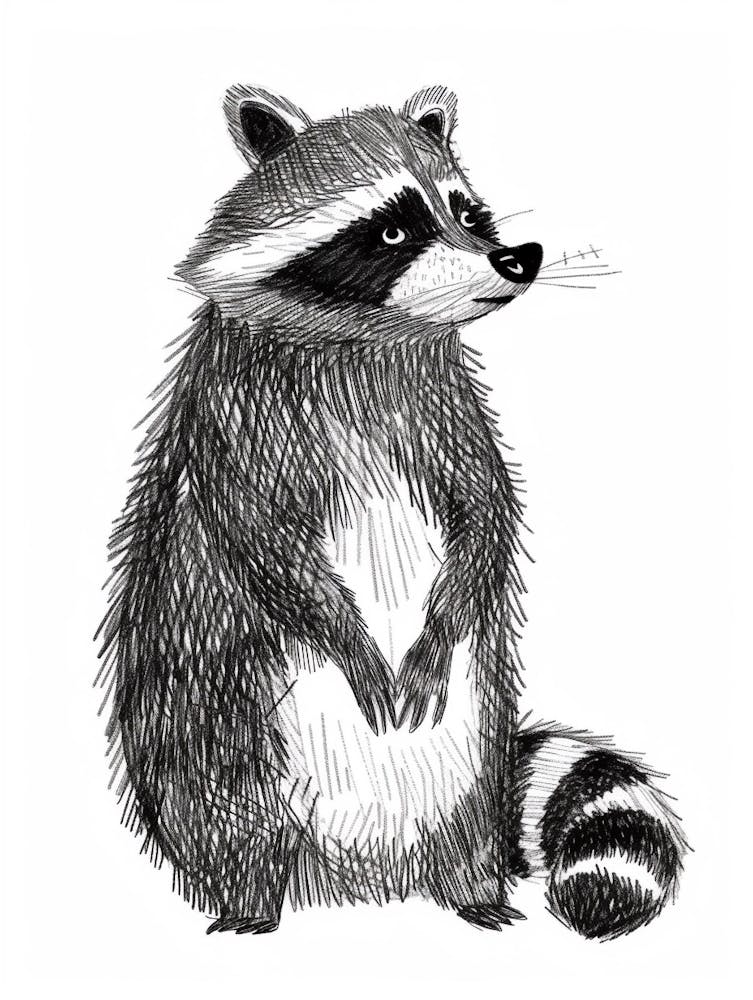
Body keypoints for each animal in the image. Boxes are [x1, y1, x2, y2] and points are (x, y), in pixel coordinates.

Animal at [98, 85, 686, 939]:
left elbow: (484, 507)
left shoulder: (447, 405)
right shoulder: (233, 413)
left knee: (469, 813)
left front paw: (440, 622)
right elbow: (256, 530)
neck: (367, 338)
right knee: (230, 809)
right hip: (217, 719)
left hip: (476, 752)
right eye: (392, 228)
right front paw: (344, 631)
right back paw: (251, 900)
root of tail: (359, 880)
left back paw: (473, 891)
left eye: (468, 213)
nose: (518, 257)